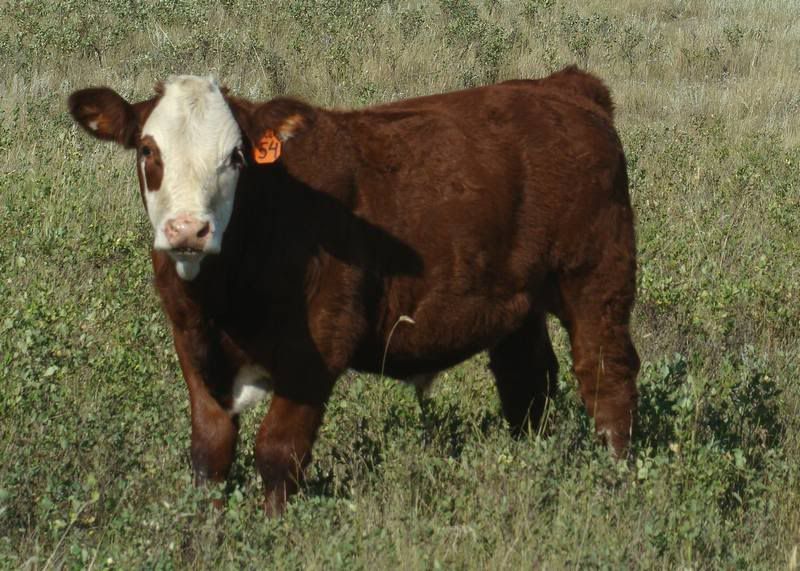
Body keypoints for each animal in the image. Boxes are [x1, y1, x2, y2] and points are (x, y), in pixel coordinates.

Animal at [67, 66, 640, 515]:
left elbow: (278, 451)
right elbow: (211, 452)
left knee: (605, 377)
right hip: (517, 303)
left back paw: (614, 477)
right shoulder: (191, 343)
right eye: (148, 150)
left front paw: (272, 533)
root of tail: (563, 86)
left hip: (597, 280)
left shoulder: (319, 344)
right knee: (528, 384)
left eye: (236, 157)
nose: (188, 229)